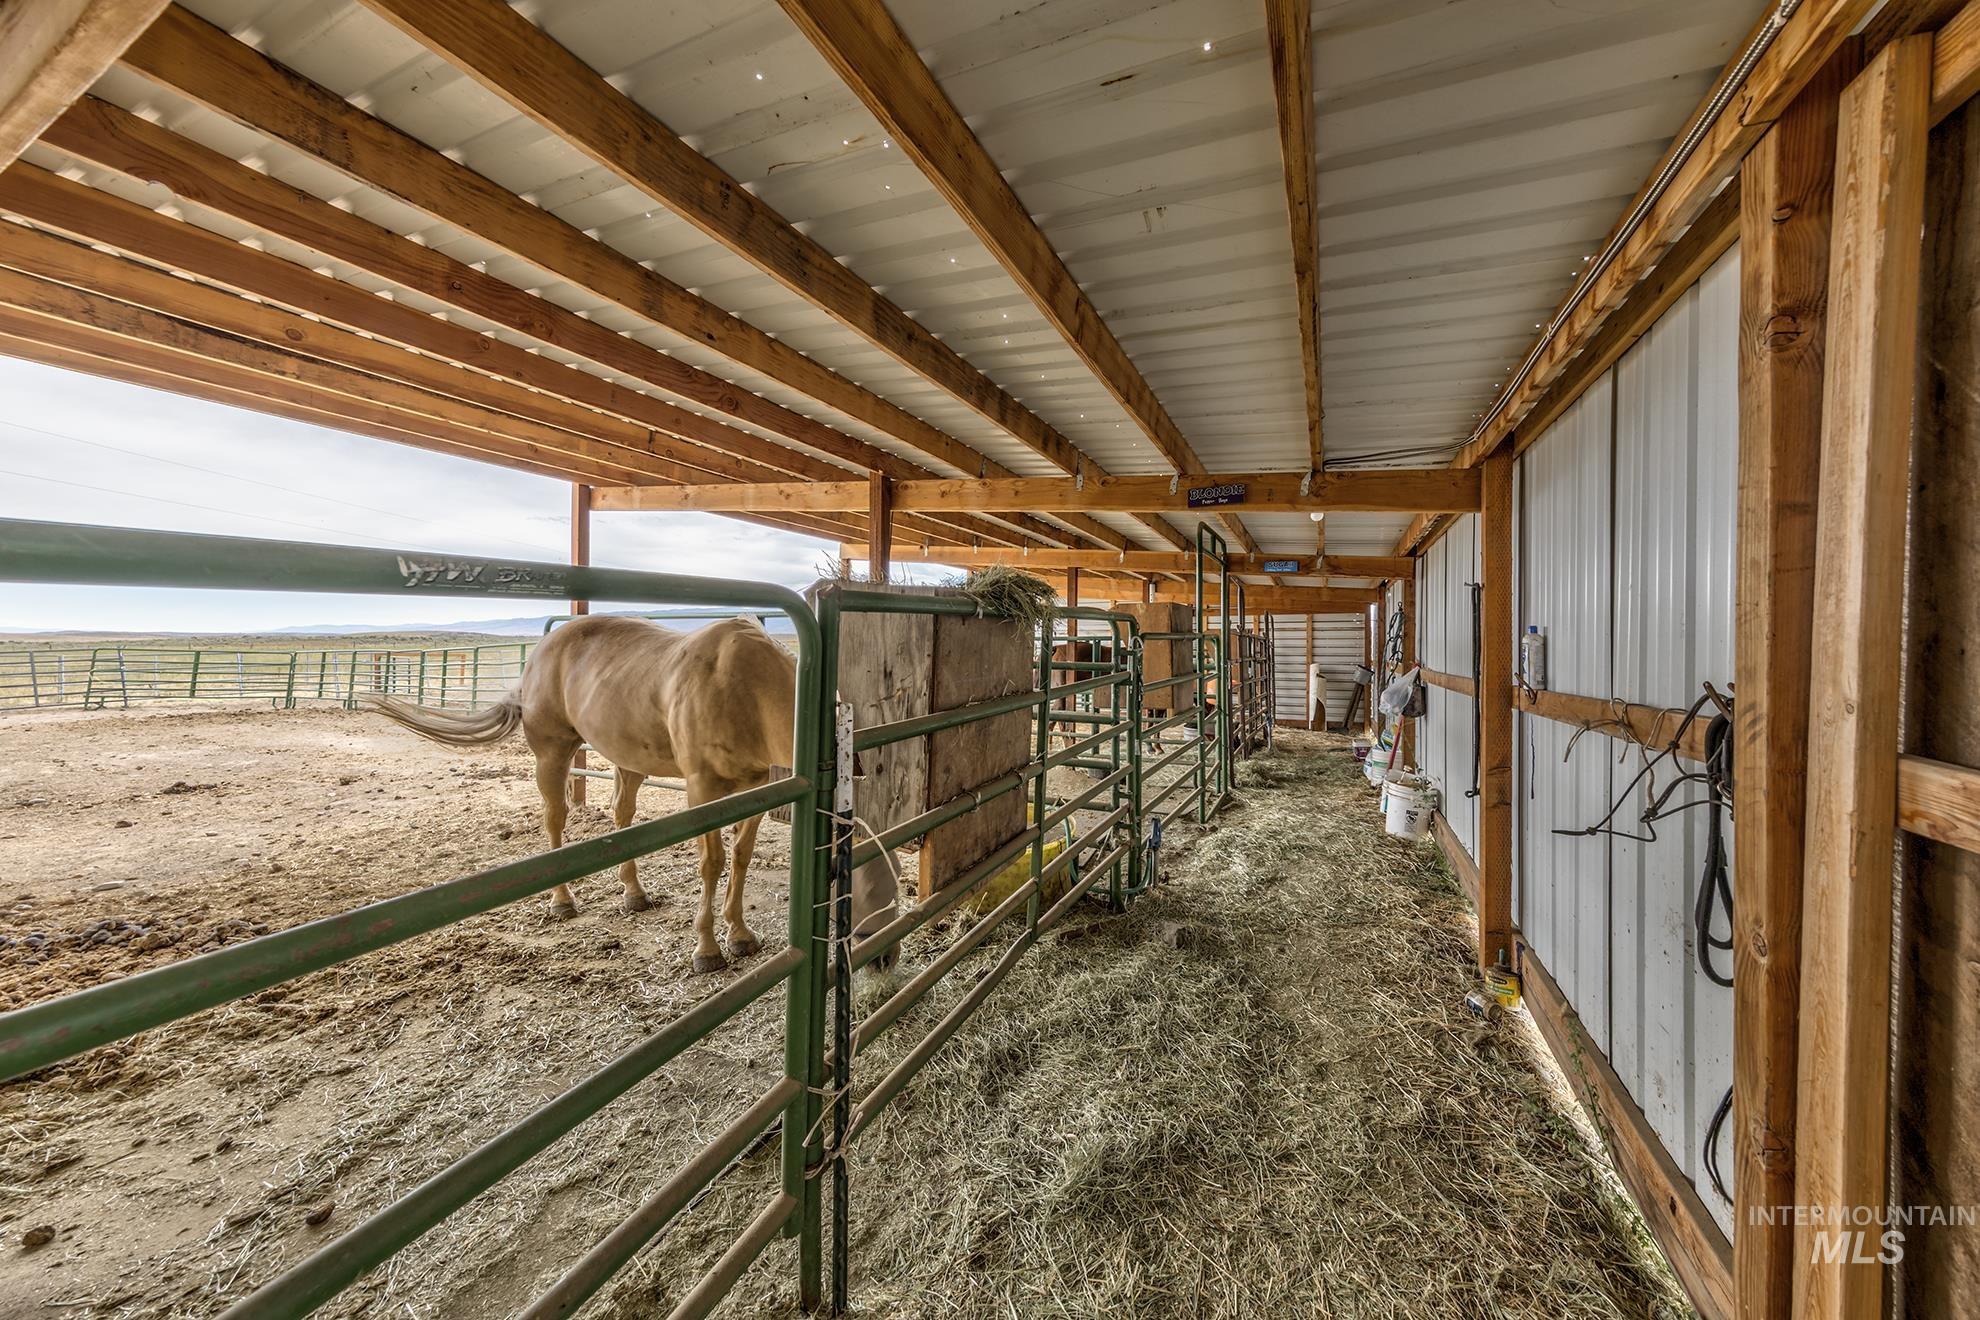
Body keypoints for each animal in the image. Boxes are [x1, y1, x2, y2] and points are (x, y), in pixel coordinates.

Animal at [364, 614, 899, 972]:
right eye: (862, 876)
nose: (886, 955)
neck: (743, 688)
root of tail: (540, 652)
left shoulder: (757, 787)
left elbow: (741, 857)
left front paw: (740, 935)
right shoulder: (702, 789)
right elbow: (712, 862)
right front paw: (707, 948)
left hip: (628, 762)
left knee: (621, 818)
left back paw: (634, 894)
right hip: (552, 754)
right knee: (555, 820)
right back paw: (562, 901)